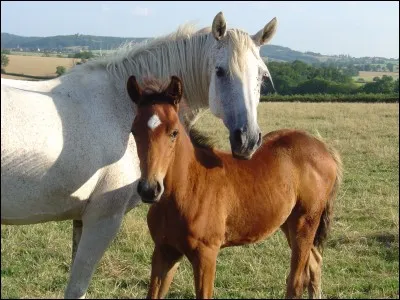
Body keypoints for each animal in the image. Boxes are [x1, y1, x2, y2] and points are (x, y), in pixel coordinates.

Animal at [0, 11, 276, 298]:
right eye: (220, 71)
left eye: (262, 76)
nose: (248, 139)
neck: (119, 105)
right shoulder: (103, 220)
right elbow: (77, 287)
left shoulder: (81, 220)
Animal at [128, 76, 344, 298]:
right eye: (133, 131)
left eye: (174, 132)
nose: (149, 189)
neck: (186, 189)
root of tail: (324, 148)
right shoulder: (165, 251)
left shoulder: (206, 254)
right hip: (288, 222)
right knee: (315, 261)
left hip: (305, 222)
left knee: (297, 281)